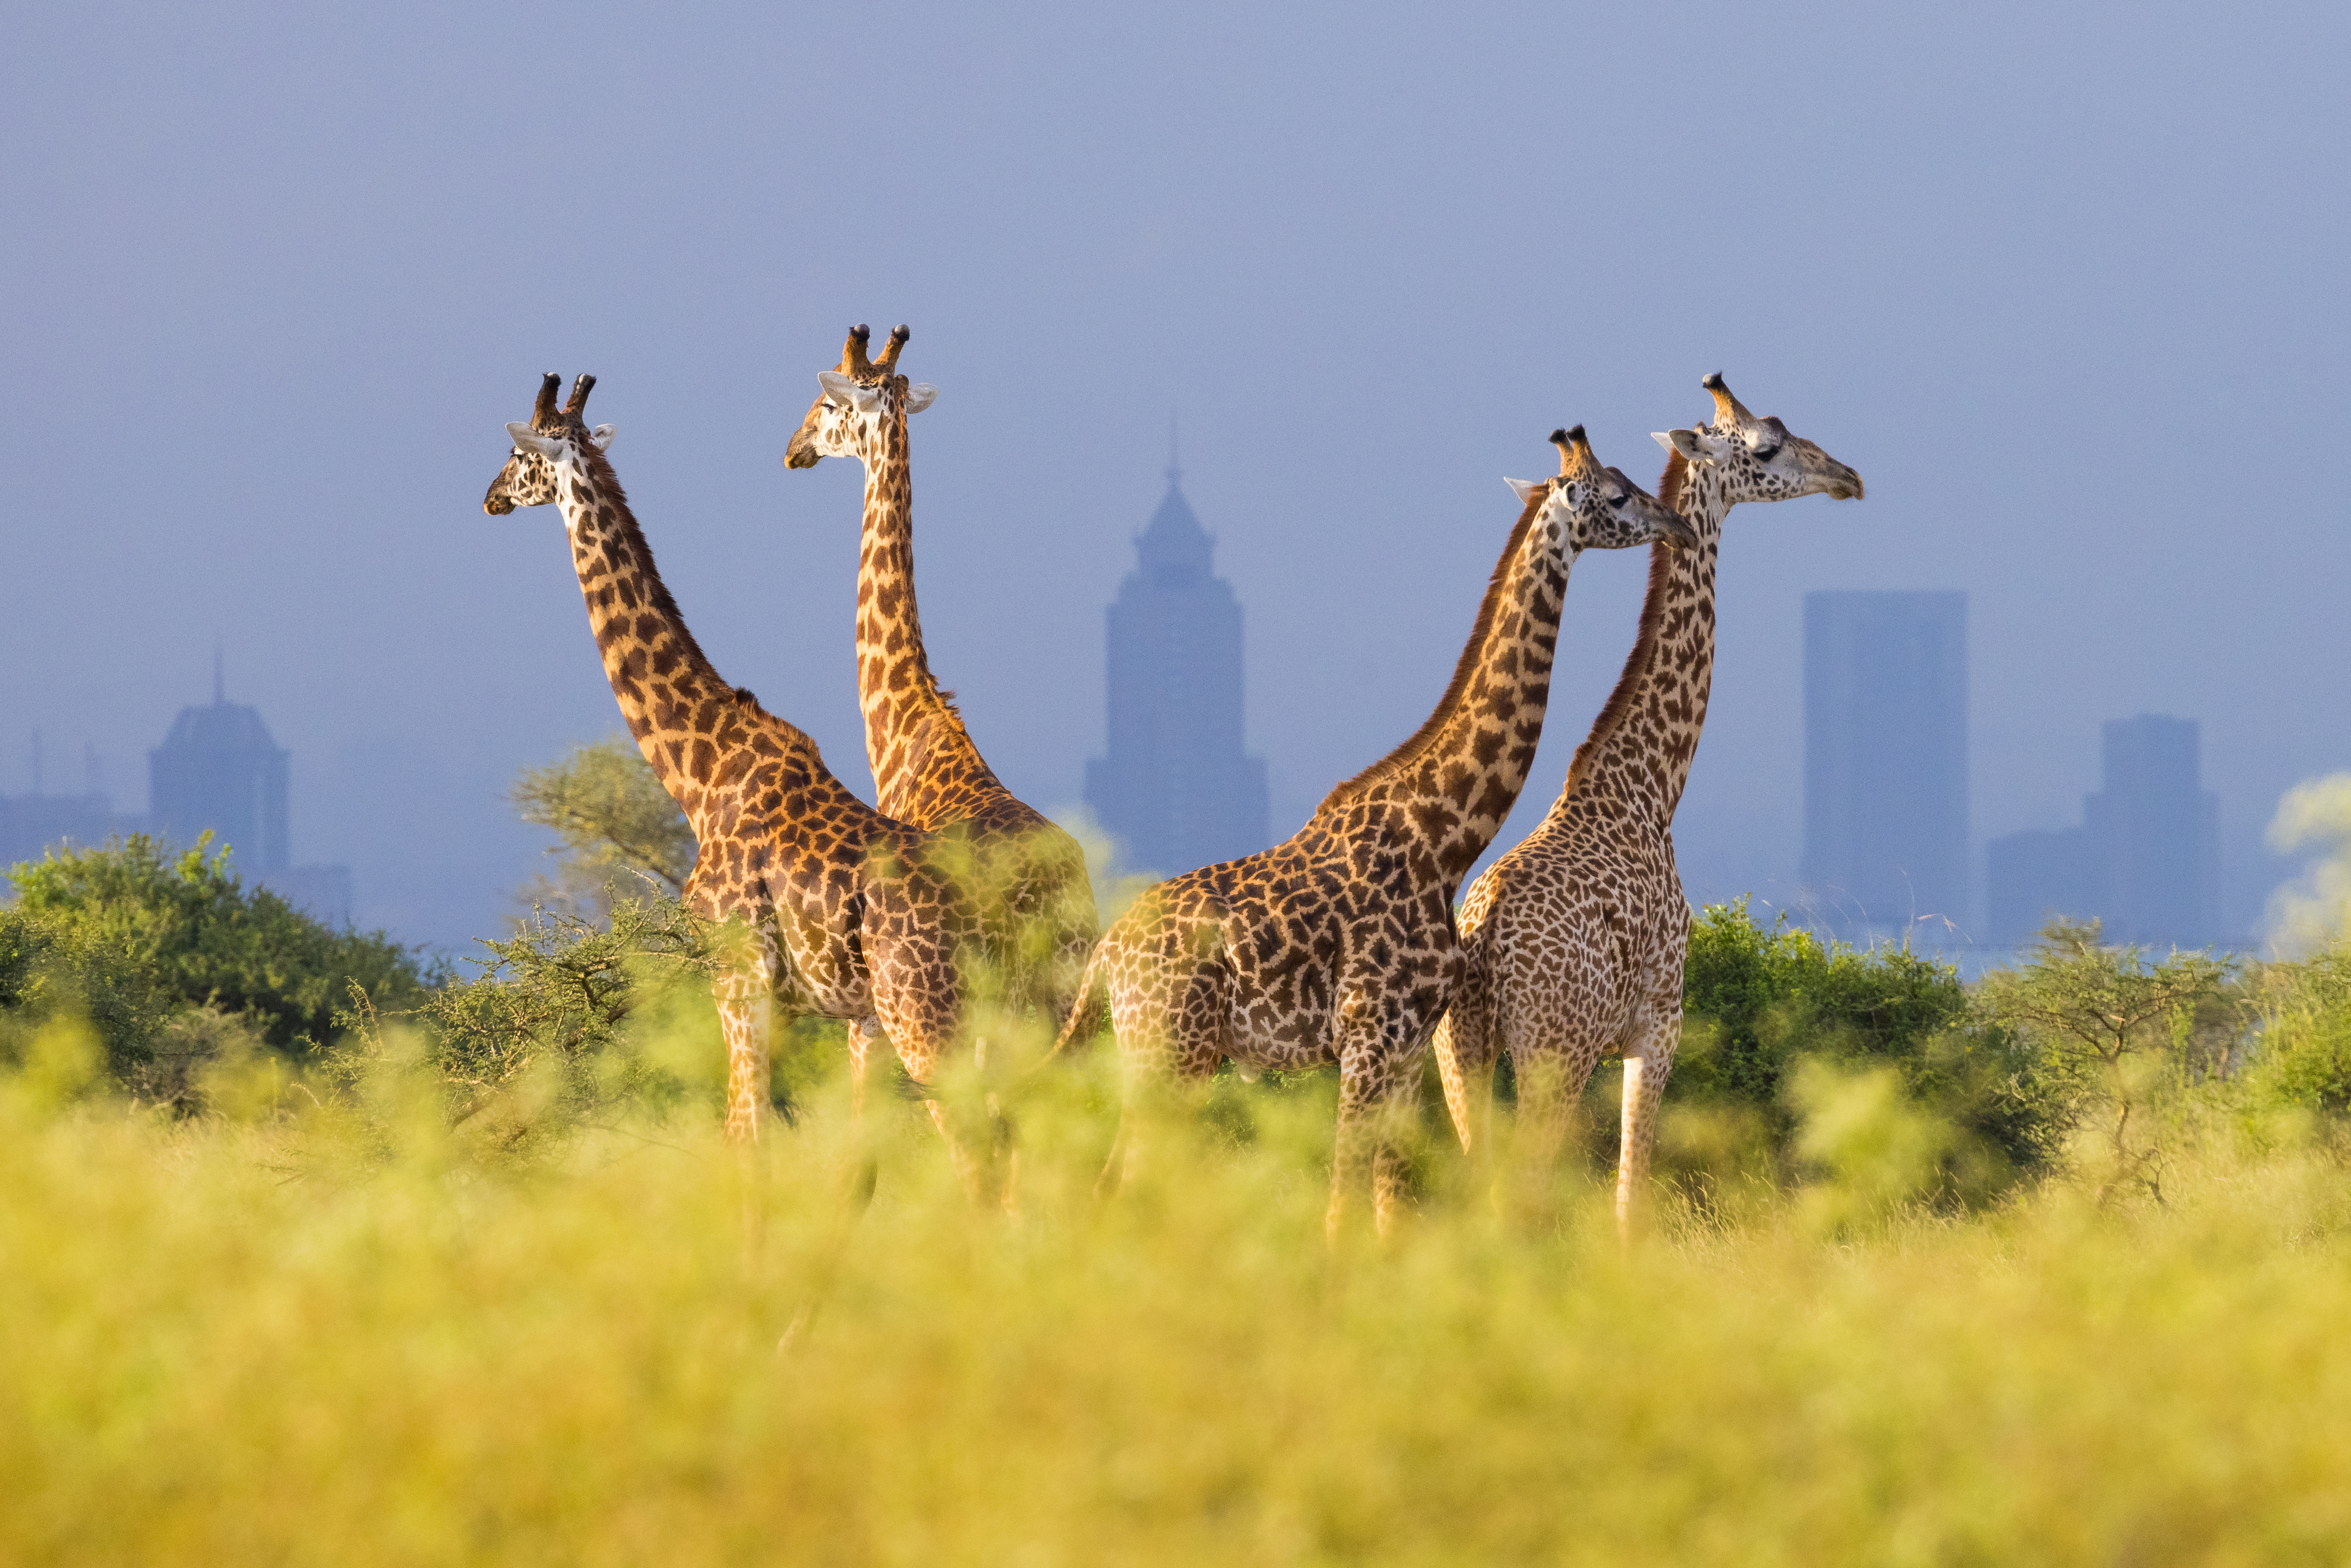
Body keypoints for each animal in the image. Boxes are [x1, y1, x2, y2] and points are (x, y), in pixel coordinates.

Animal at [484, 373, 1008, 1200]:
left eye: (516, 454)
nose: (489, 497)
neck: (698, 772)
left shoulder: (736, 975)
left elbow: (745, 1137)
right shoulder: (785, 999)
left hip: (920, 1012)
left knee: (977, 1154)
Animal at [1057, 427, 1696, 1236]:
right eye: (1616, 494)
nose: (1674, 526)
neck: (1443, 836)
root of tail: (1105, 955)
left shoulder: (1408, 1047)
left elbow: (1390, 1207)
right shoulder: (1367, 1037)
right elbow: (1339, 1206)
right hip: (1168, 1052)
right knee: (1113, 1185)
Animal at [1432, 373, 1863, 1235]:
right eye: (1768, 445)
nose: (1846, 476)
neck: (1649, 791)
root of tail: (1484, 937)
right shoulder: (1660, 1021)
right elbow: (1631, 1195)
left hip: (1458, 1051)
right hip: (1550, 1051)